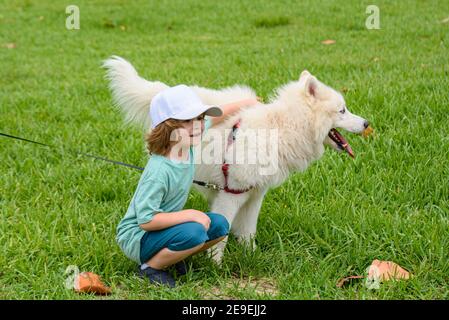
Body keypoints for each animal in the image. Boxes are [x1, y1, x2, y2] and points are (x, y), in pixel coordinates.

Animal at [103, 56, 370, 264]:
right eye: (343, 110)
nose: (367, 123)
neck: (281, 127)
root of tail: (165, 92)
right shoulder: (231, 194)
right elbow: (222, 234)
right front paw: (216, 266)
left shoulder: (255, 194)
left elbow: (248, 231)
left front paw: (250, 255)